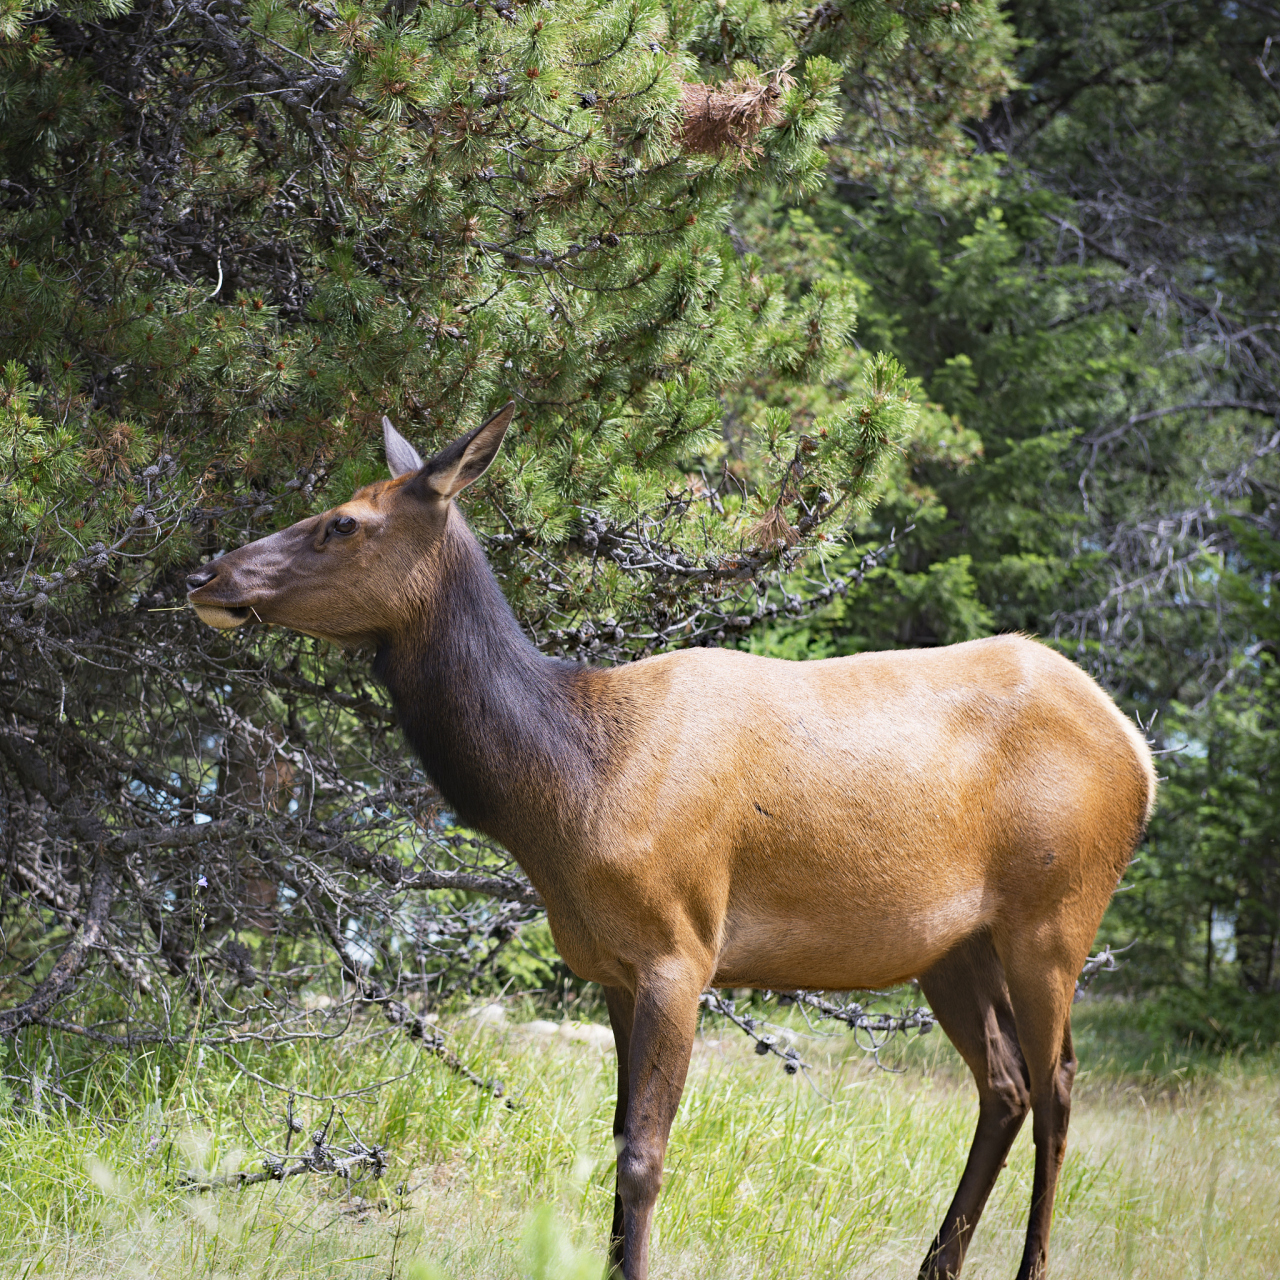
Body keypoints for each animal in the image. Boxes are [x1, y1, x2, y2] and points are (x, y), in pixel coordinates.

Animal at [185, 407, 1157, 1280]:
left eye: (342, 522)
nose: (206, 572)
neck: (570, 787)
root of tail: (1141, 754)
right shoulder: (613, 967)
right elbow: (618, 1141)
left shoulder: (680, 948)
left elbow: (644, 1160)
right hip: (954, 947)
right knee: (1006, 1086)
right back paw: (937, 1267)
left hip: (1055, 916)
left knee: (1061, 1086)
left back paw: (1029, 1265)